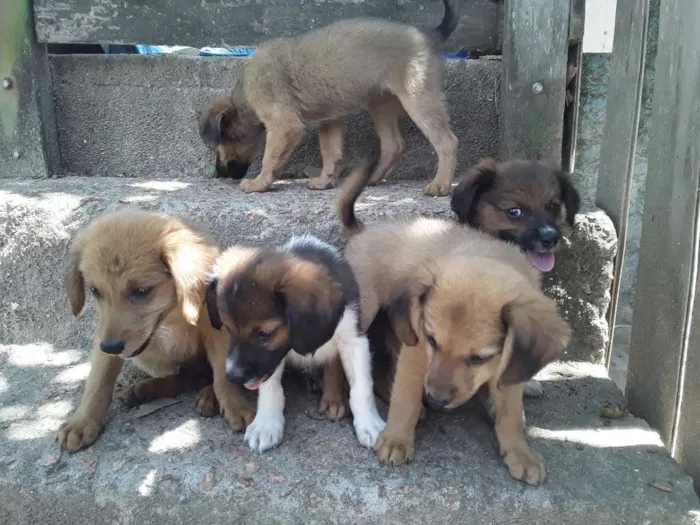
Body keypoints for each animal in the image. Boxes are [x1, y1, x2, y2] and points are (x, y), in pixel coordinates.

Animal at [57, 209, 254, 450]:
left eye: (141, 291)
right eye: (95, 291)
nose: (111, 347)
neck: (174, 316)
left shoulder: (218, 332)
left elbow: (223, 376)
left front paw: (236, 405)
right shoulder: (103, 335)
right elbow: (98, 380)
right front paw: (83, 421)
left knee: (203, 375)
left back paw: (208, 396)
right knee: (189, 376)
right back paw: (143, 391)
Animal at [197, 0, 462, 195]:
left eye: (220, 143)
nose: (218, 174)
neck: (244, 99)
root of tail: (427, 35)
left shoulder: (285, 124)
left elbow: (270, 157)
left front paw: (260, 183)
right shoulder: (329, 120)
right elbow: (330, 152)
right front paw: (325, 180)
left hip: (418, 96)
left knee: (446, 141)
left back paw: (440, 185)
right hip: (381, 103)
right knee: (393, 144)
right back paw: (372, 178)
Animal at [205, 235, 386, 452]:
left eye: (266, 334)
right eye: (228, 329)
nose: (233, 376)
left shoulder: (353, 338)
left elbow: (361, 387)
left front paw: (369, 423)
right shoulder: (271, 362)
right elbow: (270, 388)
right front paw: (266, 425)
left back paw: (333, 398)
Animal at [336, 160, 572, 484]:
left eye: (479, 358)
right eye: (433, 341)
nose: (435, 400)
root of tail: (362, 231)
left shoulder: (512, 361)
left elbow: (510, 413)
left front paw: (519, 453)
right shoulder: (417, 348)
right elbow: (406, 396)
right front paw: (397, 439)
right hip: (366, 311)